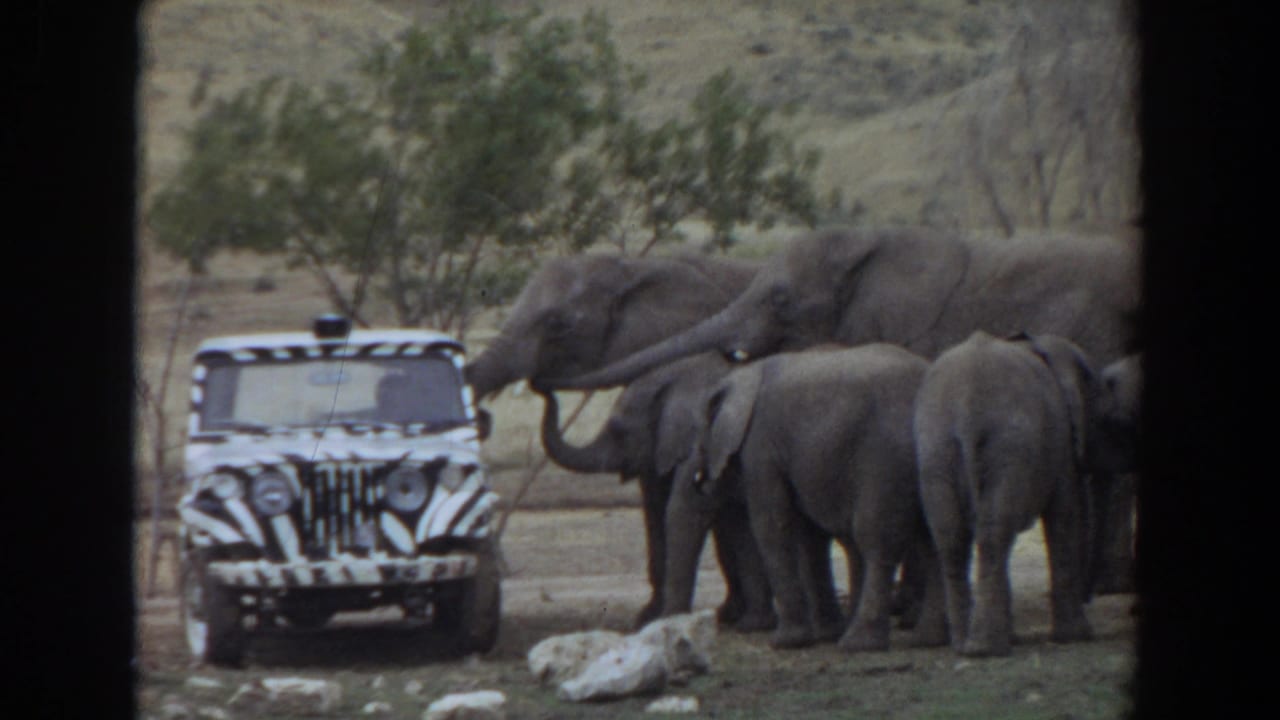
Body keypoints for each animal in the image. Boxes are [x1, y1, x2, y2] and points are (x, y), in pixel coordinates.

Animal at [534, 353, 777, 632]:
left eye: (619, 430)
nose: (539, 385)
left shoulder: (701, 442)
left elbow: (684, 511)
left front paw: (670, 620)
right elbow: (732, 520)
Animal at [683, 343, 948, 652]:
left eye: (699, 434)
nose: (699, 479)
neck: (740, 375)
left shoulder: (761, 446)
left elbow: (773, 525)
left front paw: (785, 642)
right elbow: (809, 536)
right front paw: (824, 635)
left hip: (887, 457)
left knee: (875, 537)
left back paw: (858, 644)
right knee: (931, 537)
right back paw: (925, 639)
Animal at [913, 331, 1126, 657]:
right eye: (1104, 419)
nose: (1091, 595)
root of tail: (965, 407)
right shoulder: (1061, 441)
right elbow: (1065, 515)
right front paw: (1077, 636)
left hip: (935, 451)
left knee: (952, 539)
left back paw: (966, 646)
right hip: (1010, 445)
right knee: (994, 533)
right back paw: (988, 648)